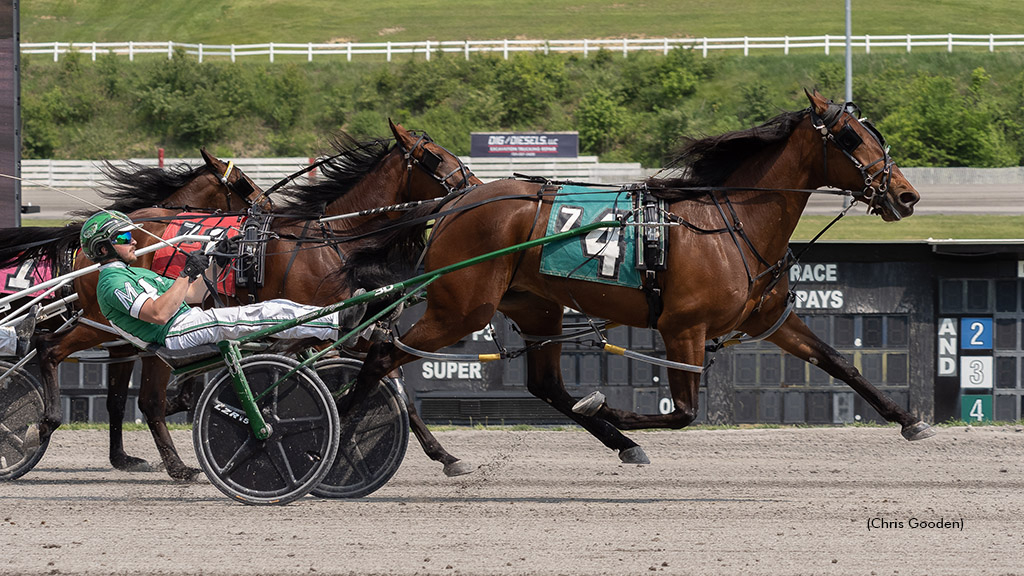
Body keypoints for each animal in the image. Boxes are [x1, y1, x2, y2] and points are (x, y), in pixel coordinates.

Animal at [16, 121, 477, 479]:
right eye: (436, 157)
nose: (474, 186)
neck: (328, 239)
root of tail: (89, 246)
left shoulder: (344, 329)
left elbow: (390, 378)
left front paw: (445, 455)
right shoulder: (313, 331)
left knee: (135, 397)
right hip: (102, 321)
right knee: (52, 348)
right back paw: (48, 425)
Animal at [346, 90, 937, 471]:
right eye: (850, 137)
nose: (906, 195)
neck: (730, 223)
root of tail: (456, 201)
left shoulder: (770, 319)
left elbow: (840, 363)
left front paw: (910, 419)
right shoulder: (683, 329)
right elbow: (684, 413)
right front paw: (608, 408)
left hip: (535, 307)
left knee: (544, 385)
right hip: (461, 308)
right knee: (381, 355)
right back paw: (342, 434)